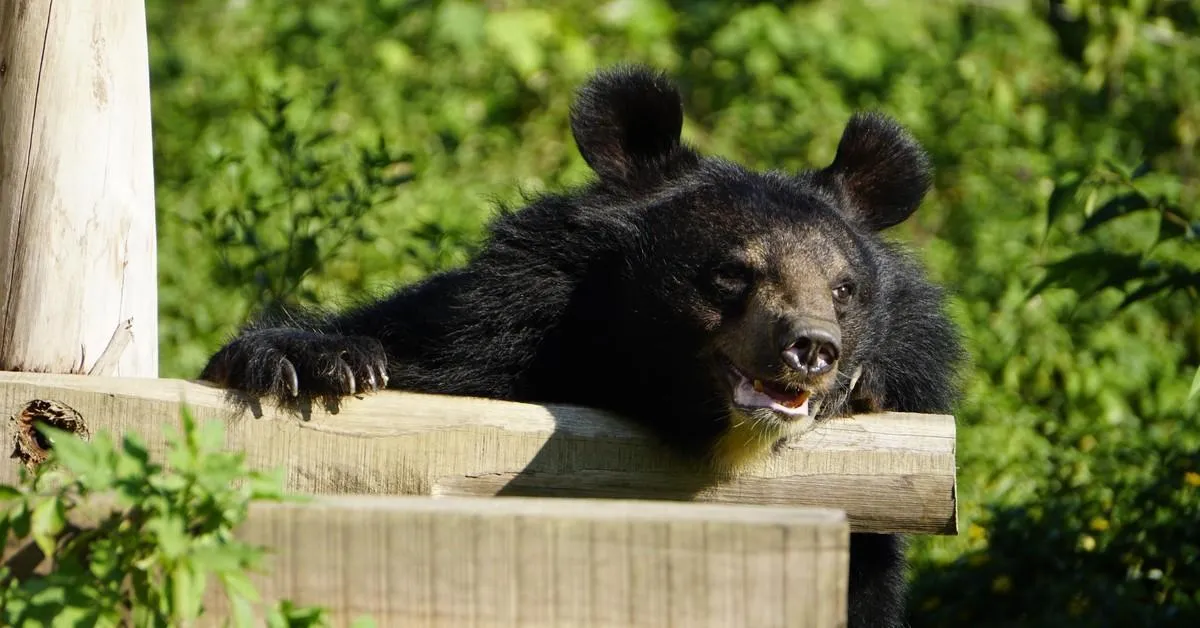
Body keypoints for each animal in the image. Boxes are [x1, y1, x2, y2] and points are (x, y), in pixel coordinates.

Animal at [200, 65, 965, 628]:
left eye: (844, 289)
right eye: (732, 274)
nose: (812, 349)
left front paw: (869, 390)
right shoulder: (490, 332)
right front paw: (315, 365)